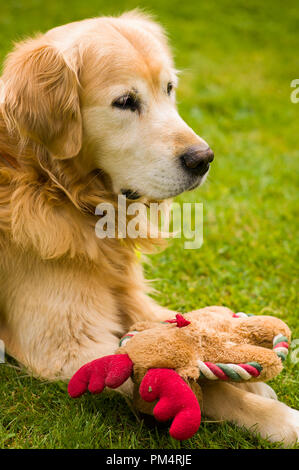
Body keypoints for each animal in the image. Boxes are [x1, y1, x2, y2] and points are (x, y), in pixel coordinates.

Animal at [0, 10, 298, 444]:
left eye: (169, 88)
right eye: (125, 102)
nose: (203, 158)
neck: (51, 184)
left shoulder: (131, 294)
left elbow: (180, 324)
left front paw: (246, 369)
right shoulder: (66, 348)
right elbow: (199, 385)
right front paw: (280, 418)